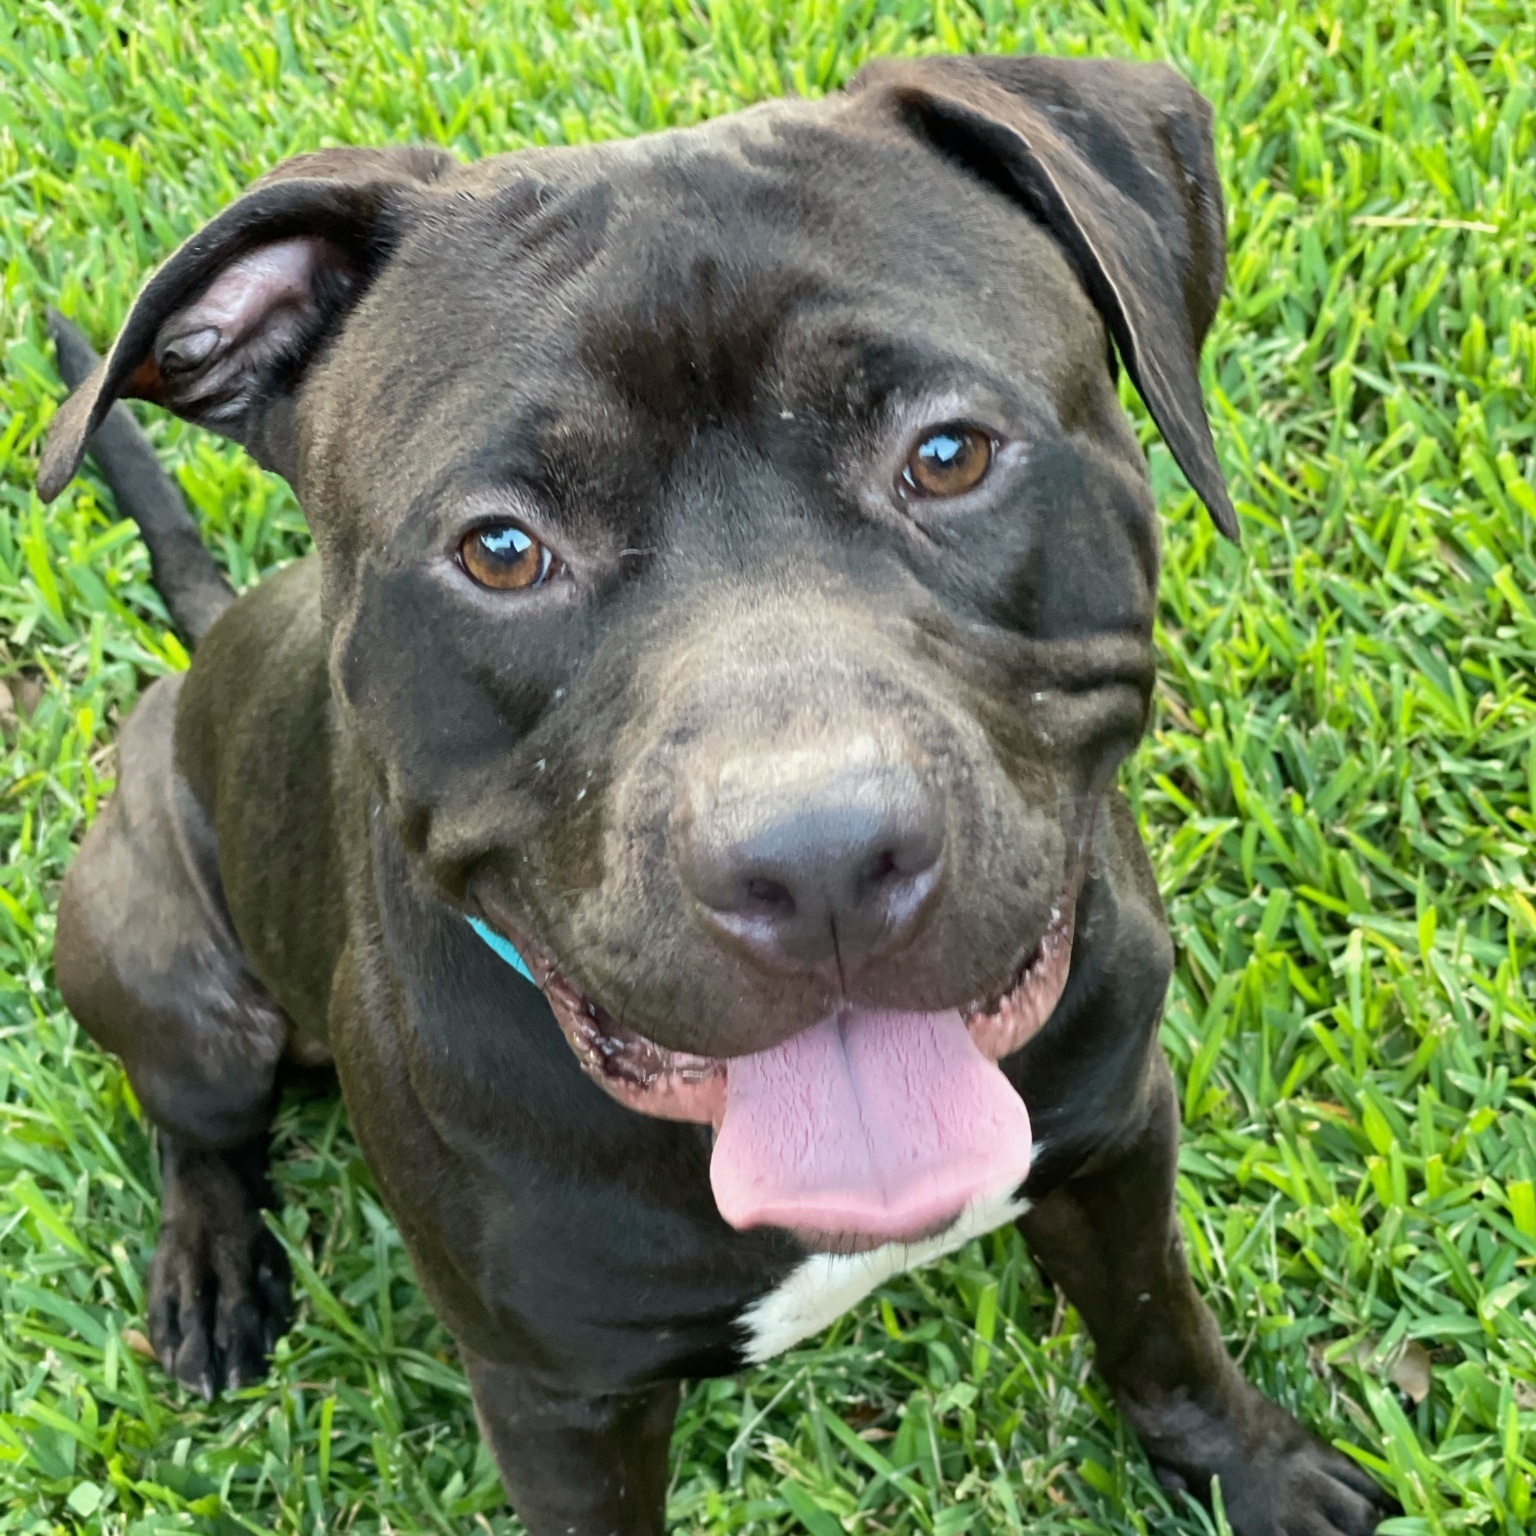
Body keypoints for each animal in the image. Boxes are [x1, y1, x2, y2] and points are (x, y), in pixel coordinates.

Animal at [42, 51, 1400, 1536]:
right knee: (194, 1128)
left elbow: (1160, 1329)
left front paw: (1252, 1473)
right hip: (178, 984)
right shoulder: (558, 1400)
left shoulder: (1114, 1144)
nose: (820, 863)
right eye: (502, 549)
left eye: (947, 455)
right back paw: (211, 1271)